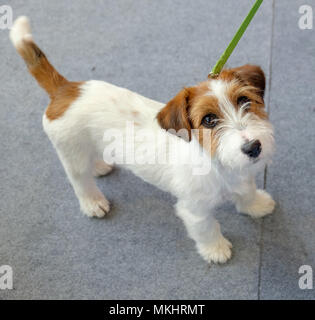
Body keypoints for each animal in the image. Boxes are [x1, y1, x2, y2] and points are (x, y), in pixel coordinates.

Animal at [10, 16, 276, 264]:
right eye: (209, 120)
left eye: (244, 100)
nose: (253, 147)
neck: (217, 163)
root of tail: (64, 90)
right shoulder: (194, 210)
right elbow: (207, 229)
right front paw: (216, 249)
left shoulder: (243, 178)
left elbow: (247, 192)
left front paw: (256, 205)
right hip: (73, 154)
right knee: (80, 181)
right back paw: (93, 203)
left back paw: (100, 165)